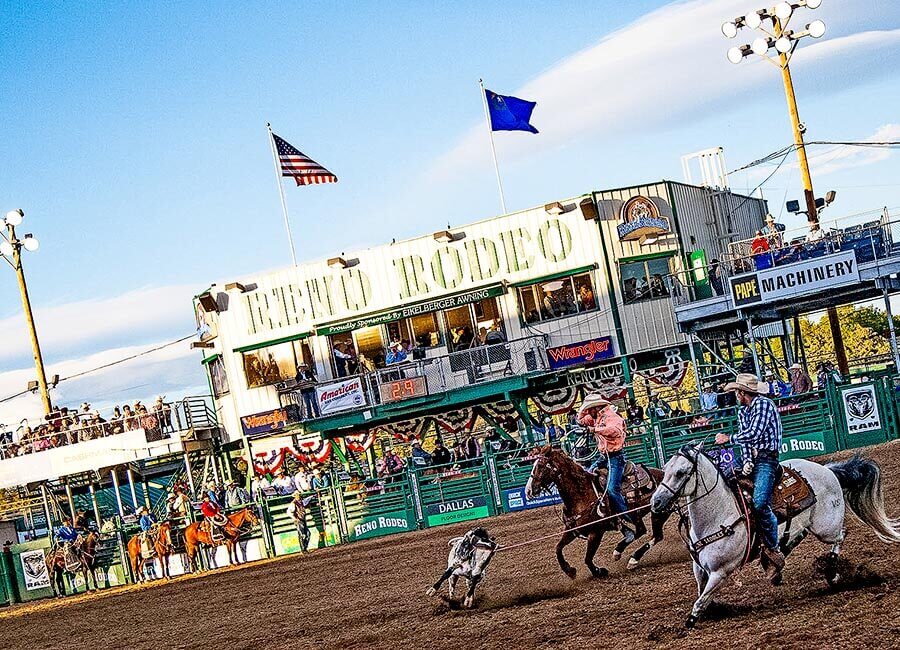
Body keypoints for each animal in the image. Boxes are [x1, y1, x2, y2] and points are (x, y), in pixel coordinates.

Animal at [528, 446, 668, 576]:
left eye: (540, 465)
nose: (528, 491)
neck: (581, 496)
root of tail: (663, 473)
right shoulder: (571, 530)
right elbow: (558, 549)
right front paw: (569, 570)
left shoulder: (596, 533)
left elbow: (587, 559)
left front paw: (598, 571)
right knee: (642, 533)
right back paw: (621, 549)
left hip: (658, 513)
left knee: (650, 533)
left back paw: (632, 559)